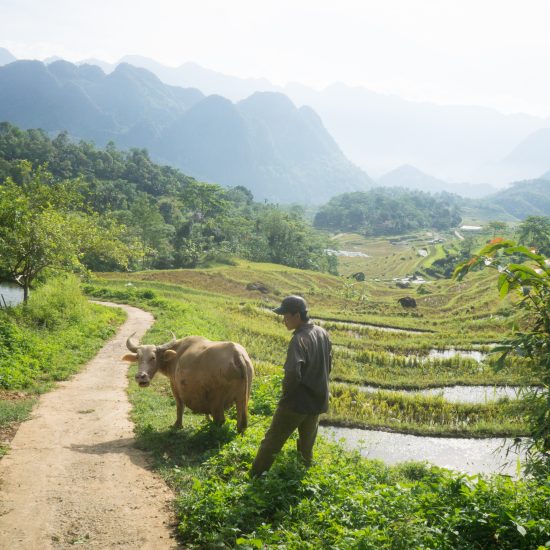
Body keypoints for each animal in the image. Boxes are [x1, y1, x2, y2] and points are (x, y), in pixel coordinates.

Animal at [122, 334, 256, 434]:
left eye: (153, 357)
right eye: (138, 357)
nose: (141, 376)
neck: (175, 356)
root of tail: (237, 355)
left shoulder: (175, 386)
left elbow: (179, 406)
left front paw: (177, 425)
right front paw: (206, 419)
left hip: (217, 401)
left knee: (220, 420)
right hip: (243, 398)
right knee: (242, 423)